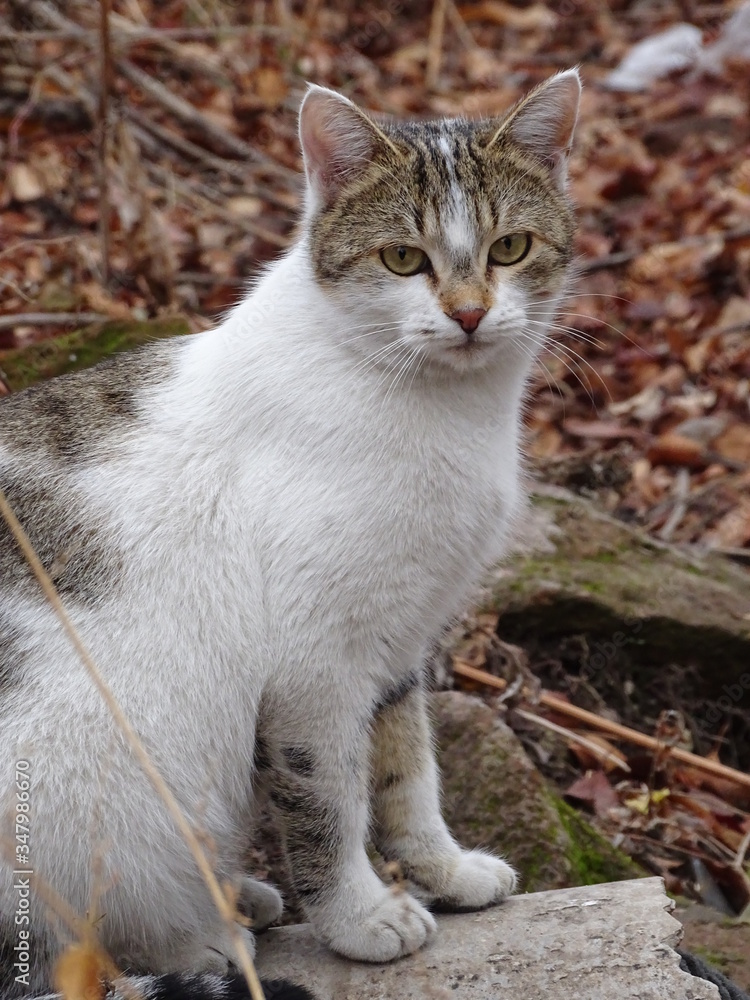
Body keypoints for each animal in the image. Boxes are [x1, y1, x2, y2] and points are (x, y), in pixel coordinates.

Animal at [0, 70, 580, 1000]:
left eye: (511, 248)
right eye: (403, 259)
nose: (467, 315)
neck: (439, 406)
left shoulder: (398, 636)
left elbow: (407, 772)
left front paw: (445, 873)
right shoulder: (313, 660)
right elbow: (327, 798)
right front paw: (359, 917)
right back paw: (199, 941)